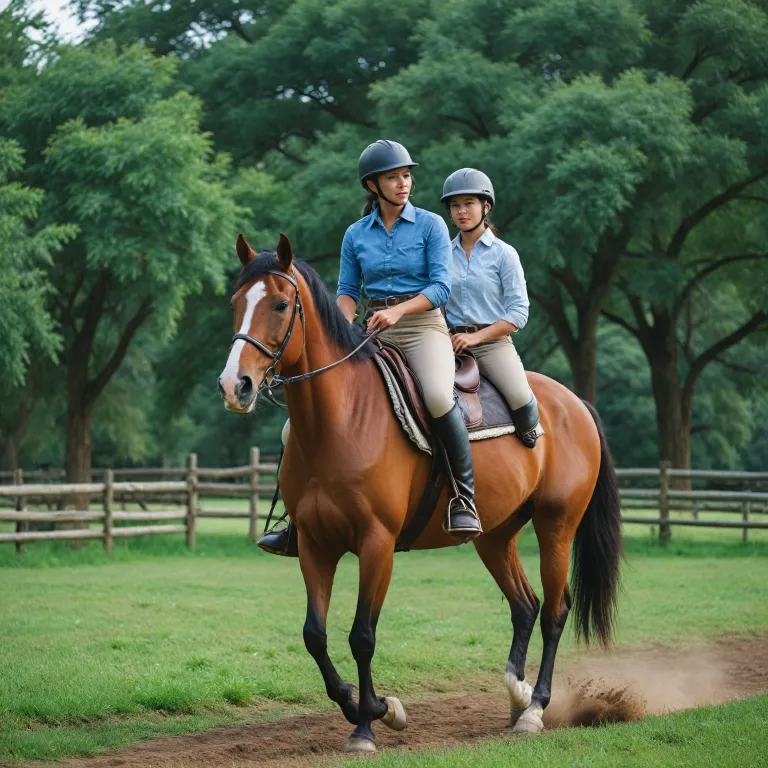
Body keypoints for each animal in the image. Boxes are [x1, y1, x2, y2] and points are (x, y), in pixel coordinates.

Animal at [218, 233, 622, 754]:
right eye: (235, 303)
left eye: (281, 304)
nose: (235, 386)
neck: (340, 420)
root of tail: (574, 402)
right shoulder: (314, 545)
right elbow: (314, 635)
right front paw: (368, 706)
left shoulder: (376, 544)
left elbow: (362, 636)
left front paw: (370, 723)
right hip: (496, 536)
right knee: (525, 606)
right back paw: (516, 696)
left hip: (557, 526)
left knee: (554, 611)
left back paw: (534, 710)